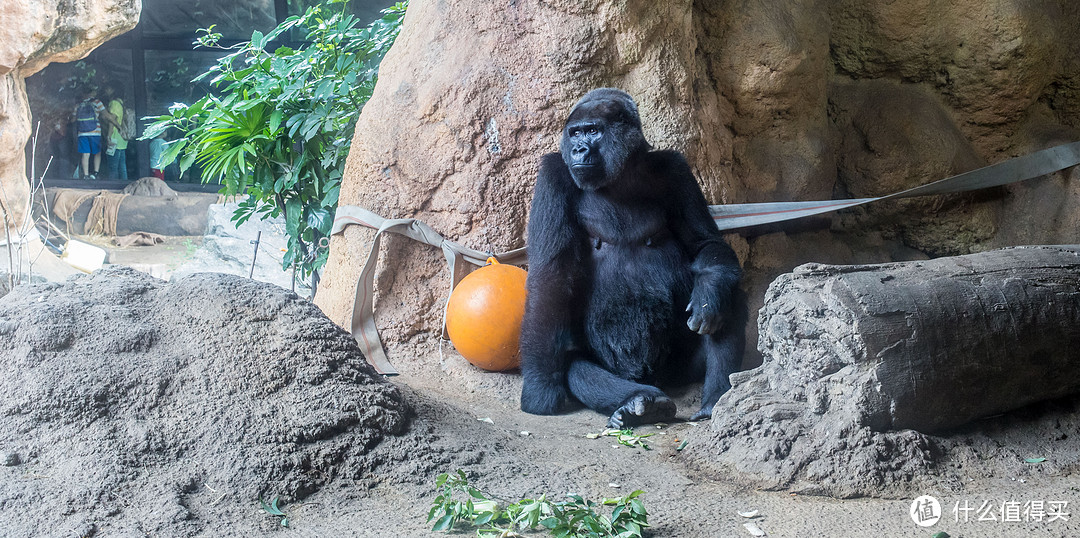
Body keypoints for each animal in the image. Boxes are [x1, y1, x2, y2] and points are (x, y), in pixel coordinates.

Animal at [518, 86, 747, 425]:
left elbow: (705, 243)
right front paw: (539, 387)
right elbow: (551, 278)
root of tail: (655, 379)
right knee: (574, 366)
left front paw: (710, 293)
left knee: (730, 290)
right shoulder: (553, 174)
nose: (578, 150)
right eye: (574, 133)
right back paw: (641, 402)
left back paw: (715, 399)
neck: (622, 173)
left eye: (593, 131)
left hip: (682, 369)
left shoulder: (676, 169)